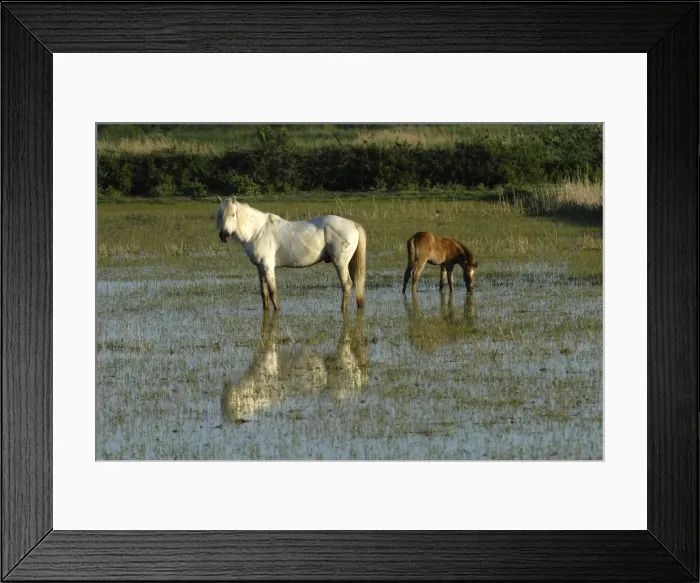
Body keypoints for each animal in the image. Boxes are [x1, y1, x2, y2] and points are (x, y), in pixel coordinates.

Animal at [216, 197, 366, 312]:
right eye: (219, 215)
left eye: (233, 214)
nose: (224, 235)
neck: (258, 231)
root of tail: (353, 224)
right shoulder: (260, 268)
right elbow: (264, 293)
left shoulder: (268, 267)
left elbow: (273, 293)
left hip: (340, 263)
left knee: (346, 285)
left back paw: (342, 309)